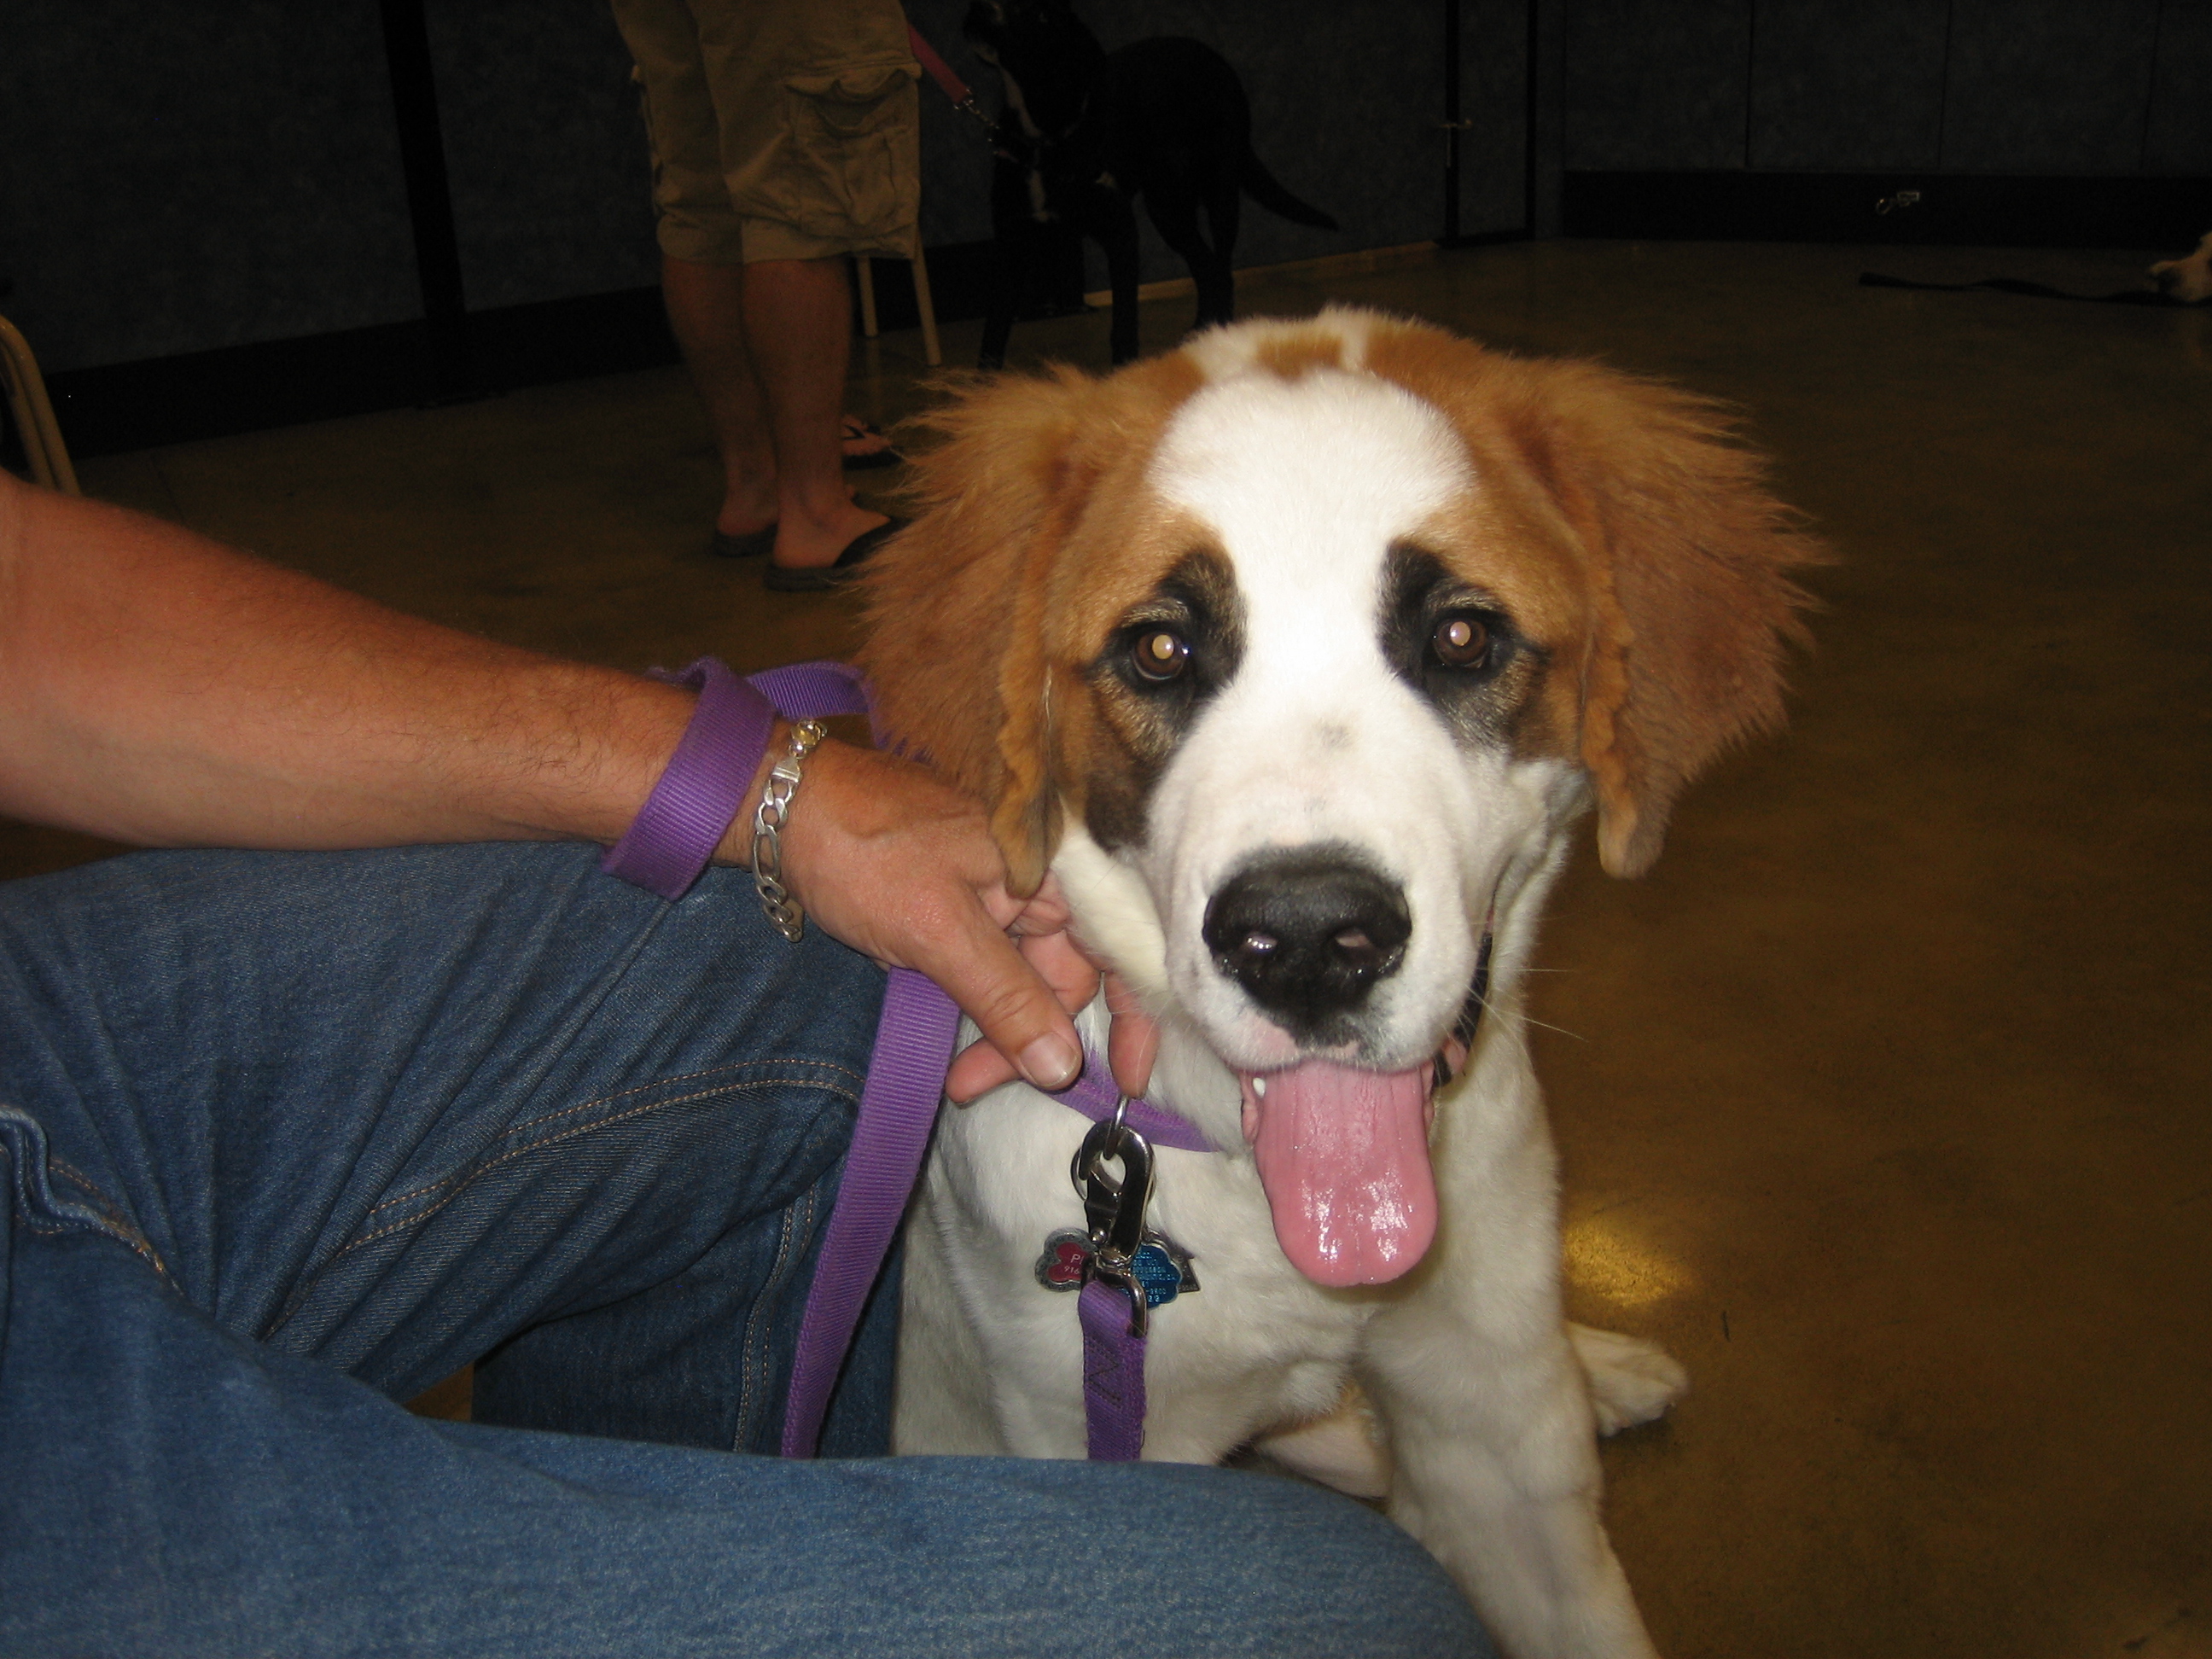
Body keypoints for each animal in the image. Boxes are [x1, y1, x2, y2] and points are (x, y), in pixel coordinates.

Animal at [963, 0, 1338, 369]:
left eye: (1041, 16)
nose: (977, 7)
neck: (1045, 138)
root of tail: (1214, 58)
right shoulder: (1011, 243)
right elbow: (993, 330)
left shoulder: (1121, 234)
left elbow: (1124, 322)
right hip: (1168, 207)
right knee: (1206, 268)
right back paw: (1202, 333)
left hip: (1218, 193)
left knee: (1222, 270)